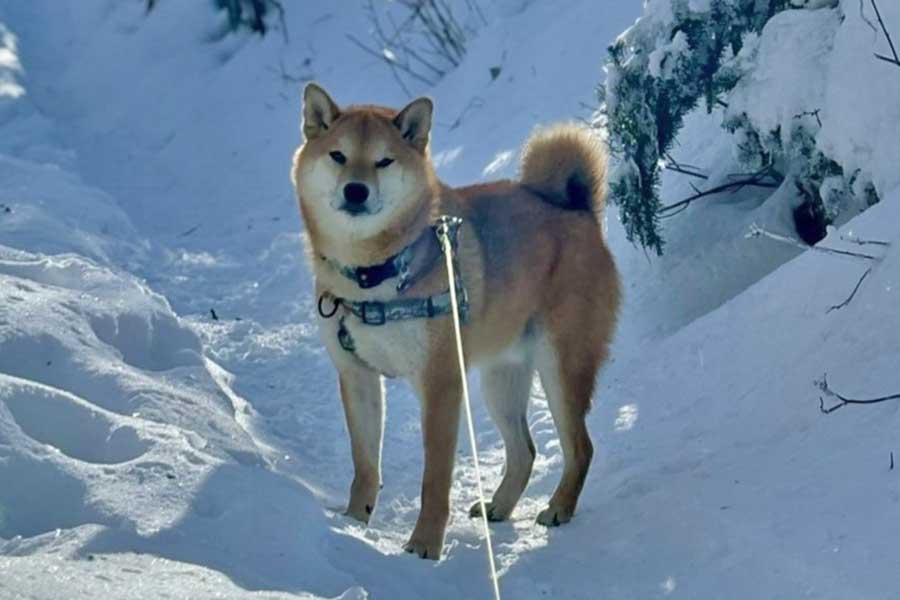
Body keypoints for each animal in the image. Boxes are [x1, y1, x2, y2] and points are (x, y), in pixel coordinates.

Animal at [294, 82, 620, 560]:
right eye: (338, 155)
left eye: (383, 161)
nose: (356, 190)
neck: (376, 273)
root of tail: (577, 212)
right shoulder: (357, 376)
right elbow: (365, 464)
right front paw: (354, 523)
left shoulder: (440, 383)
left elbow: (434, 481)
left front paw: (424, 546)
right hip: (500, 380)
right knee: (524, 451)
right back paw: (500, 507)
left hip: (560, 368)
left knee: (581, 447)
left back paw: (559, 507)